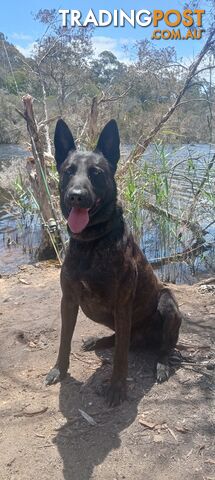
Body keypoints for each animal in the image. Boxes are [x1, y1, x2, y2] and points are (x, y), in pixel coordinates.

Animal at [45, 118, 181, 404]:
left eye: (96, 173)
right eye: (68, 171)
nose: (75, 195)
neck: (91, 242)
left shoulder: (122, 305)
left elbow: (120, 357)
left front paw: (117, 387)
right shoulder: (68, 300)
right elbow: (64, 340)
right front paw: (59, 370)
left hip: (167, 302)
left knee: (159, 347)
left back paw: (162, 364)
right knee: (120, 339)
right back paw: (98, 342)